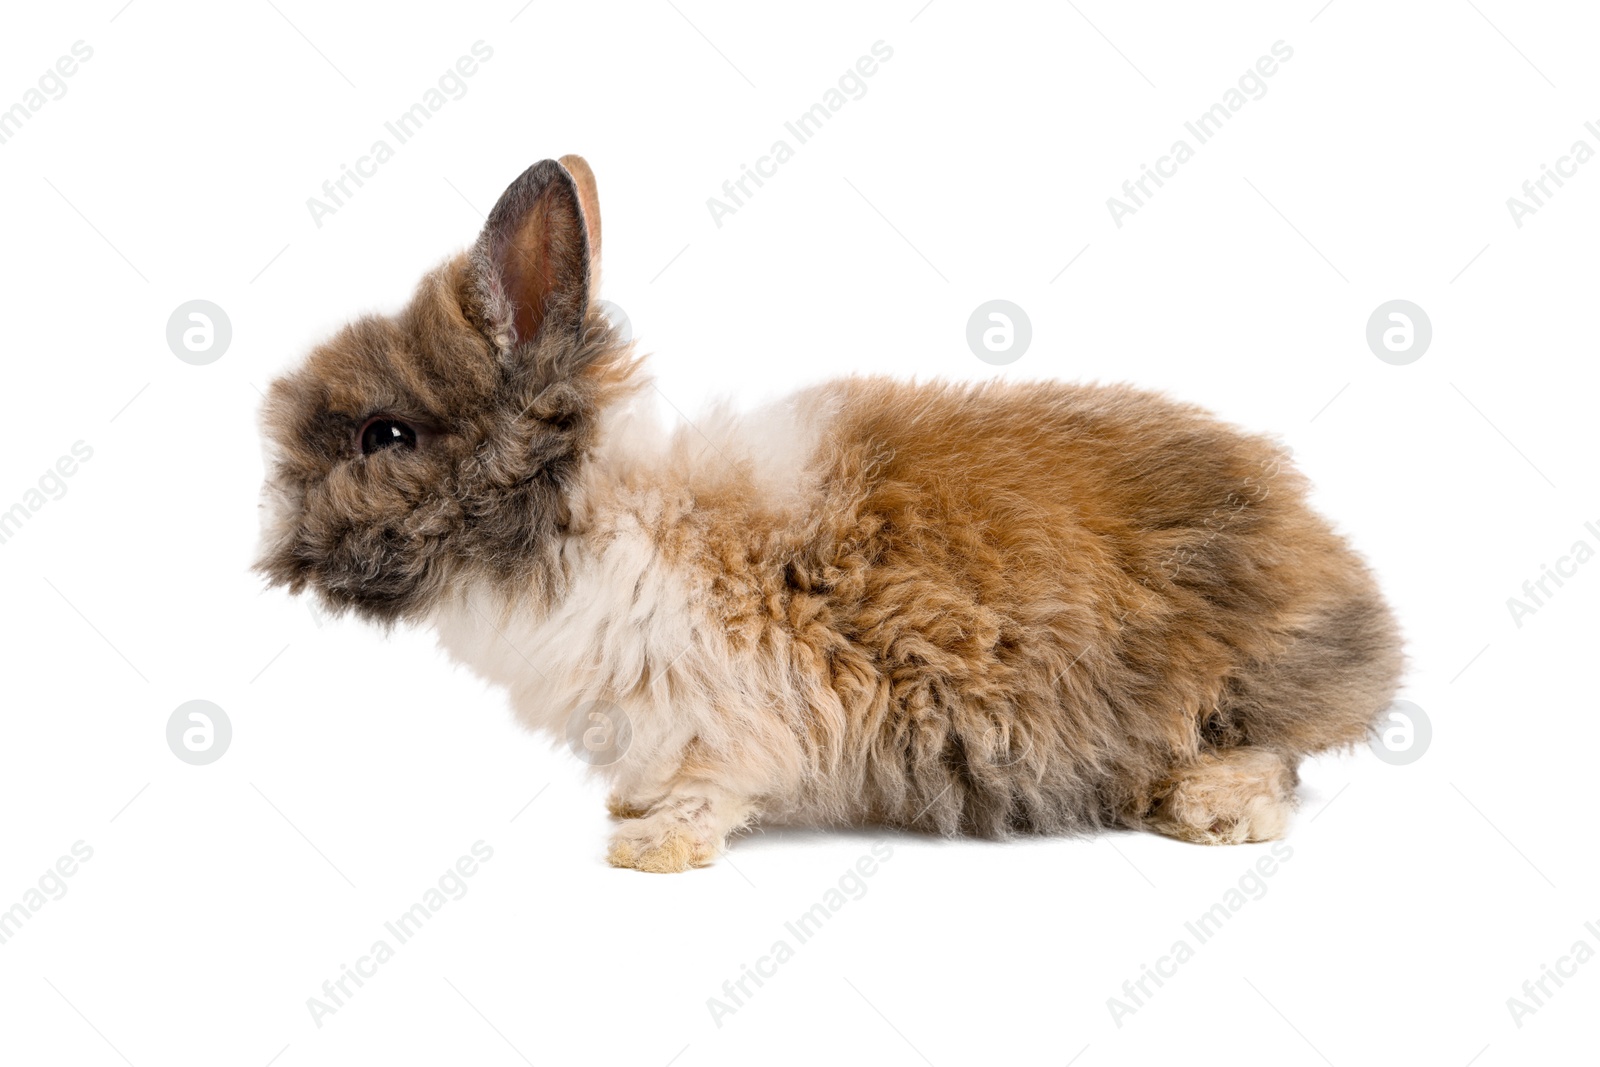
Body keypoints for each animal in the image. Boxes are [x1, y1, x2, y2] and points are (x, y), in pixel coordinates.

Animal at [249, 160, 1401, 876]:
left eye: (386, 435)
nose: (276, 541)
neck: (583, 522)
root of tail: (1345, 584)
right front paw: (628, 818)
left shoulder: (717, 711)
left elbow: (704, 788)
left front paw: (648, 850)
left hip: (1229, 688)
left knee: (1275, 754)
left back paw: (1207, 812)